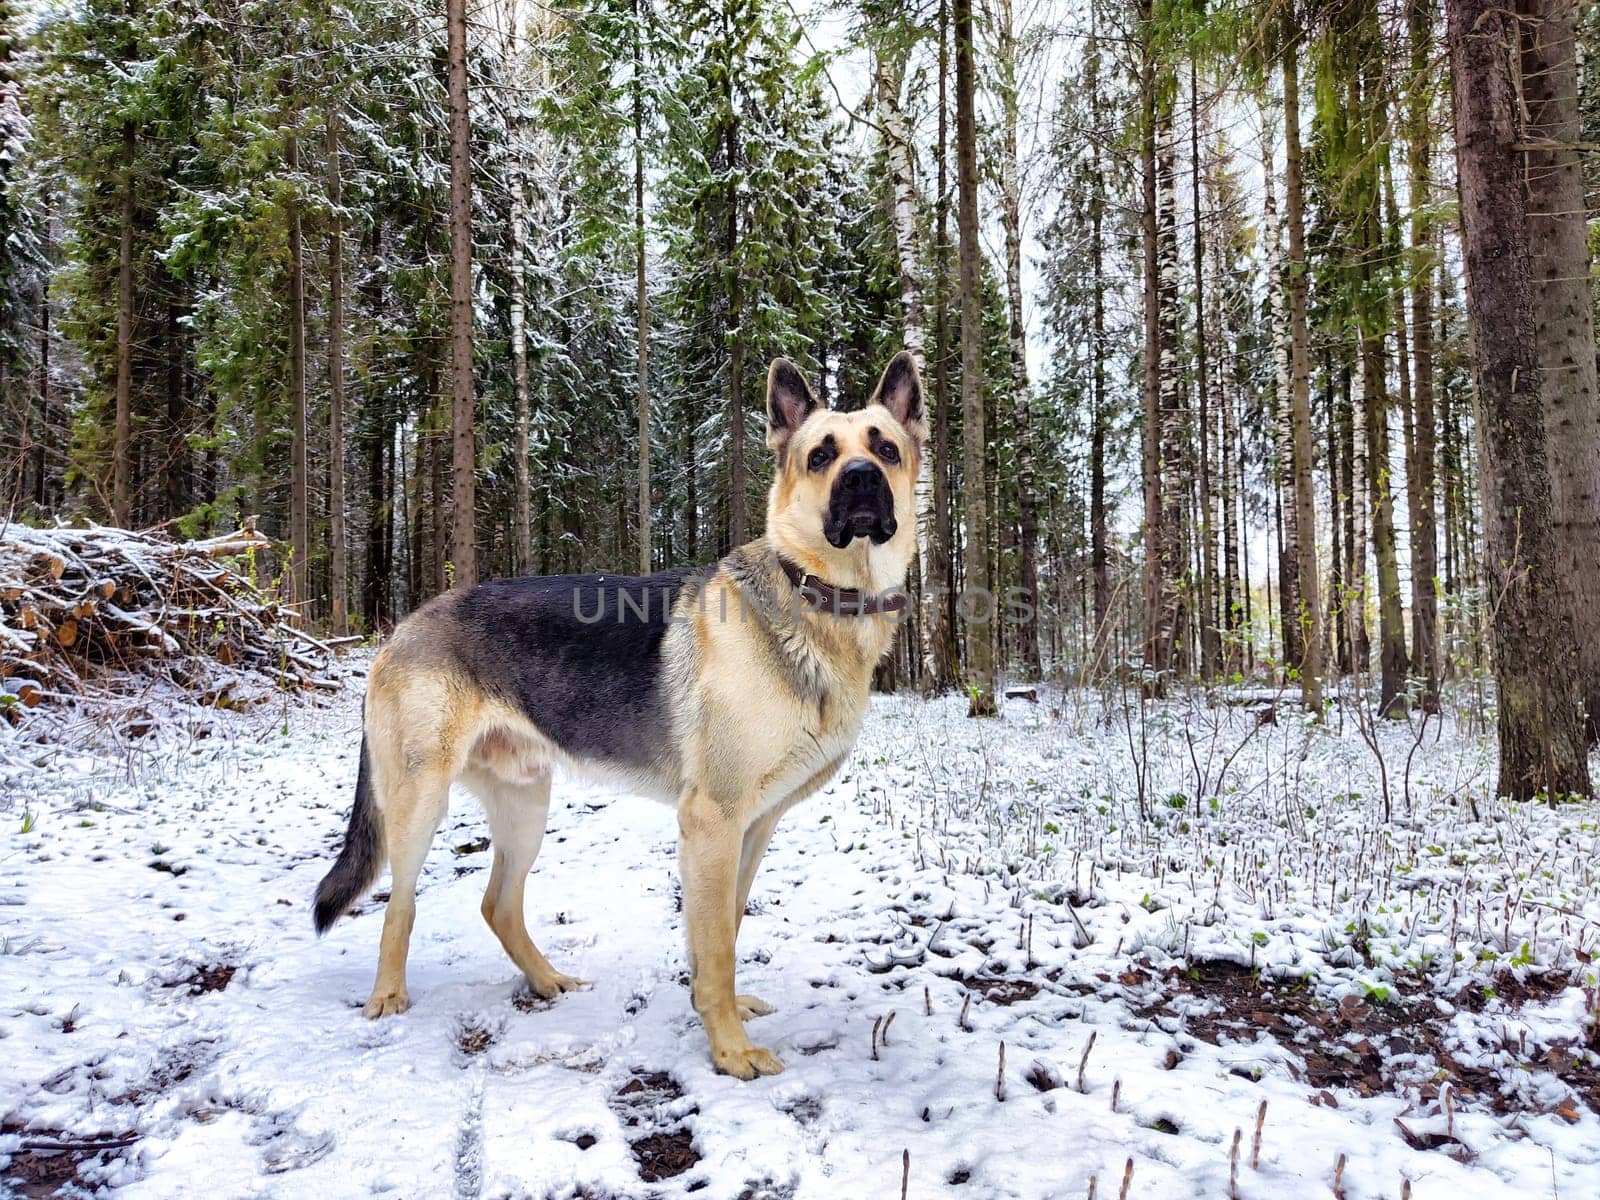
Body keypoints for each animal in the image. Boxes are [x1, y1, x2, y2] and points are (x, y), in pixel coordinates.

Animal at [313, 347, 928, 1081]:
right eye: (821, 456)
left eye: (885, 449)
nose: (862, 478)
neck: (817, 599)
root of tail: (401, 628)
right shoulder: (711, 823)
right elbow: (715, 946)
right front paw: (728, 1051)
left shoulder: (752, 828)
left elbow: (726, 927)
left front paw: (719, 1016)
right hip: (416, 805)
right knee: (399, 905)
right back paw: (387, 996)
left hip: (526, 805)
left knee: (498, 904)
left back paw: (547, 981)